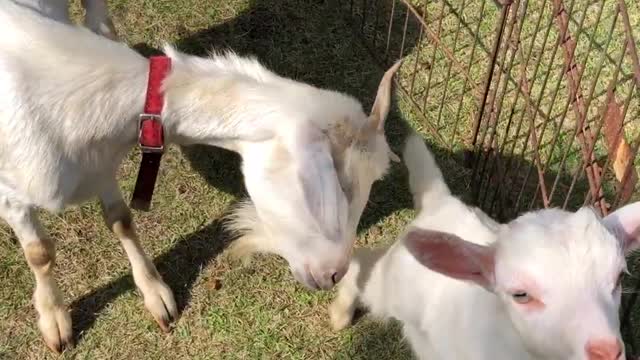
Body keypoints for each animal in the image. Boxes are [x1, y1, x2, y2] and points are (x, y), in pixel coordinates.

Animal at [0, 1, 400, 352]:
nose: (336, 273)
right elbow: (39, 252)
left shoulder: (101, 167)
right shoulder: (13, 193)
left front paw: (155, 293)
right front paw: (55, 320)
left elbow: (121, 219)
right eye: (339, 184)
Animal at [330, 134, 640, 360]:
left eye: (619, 278)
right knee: (363, 267)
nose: (607, 352)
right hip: (389, 287)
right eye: (520, 295)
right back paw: (341, 312)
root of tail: (441, 202)